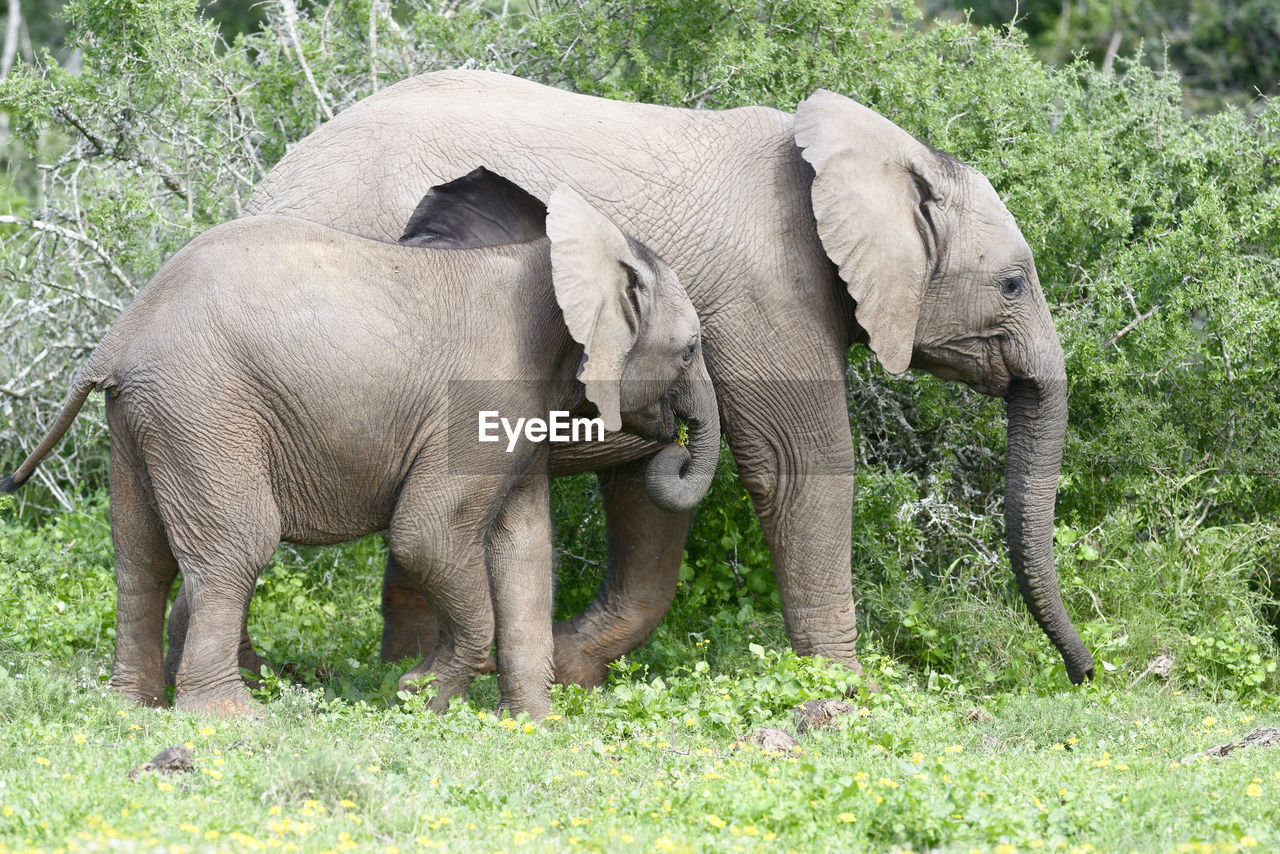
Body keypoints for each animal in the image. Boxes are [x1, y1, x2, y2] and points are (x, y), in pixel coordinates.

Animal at [2, 165, 721, 717]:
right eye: (690, 351)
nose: (674, 448)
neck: (555, 263)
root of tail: (120, 333)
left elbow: (523, 547)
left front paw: (530, 727)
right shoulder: (478, 399)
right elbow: (427, 533)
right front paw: (421, 699)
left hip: (143, 416)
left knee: (140, 553)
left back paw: (133, 707)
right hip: (202, 407)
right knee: (236, 546)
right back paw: (230, 720)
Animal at [238, 71, 1090, 686]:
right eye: (1013, 285)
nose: (1083, 674)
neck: (869, 157)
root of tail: (265, 185)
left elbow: (647, 486)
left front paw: (571, 670)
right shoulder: (769, 291)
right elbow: (801, 465)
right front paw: (850, 695)